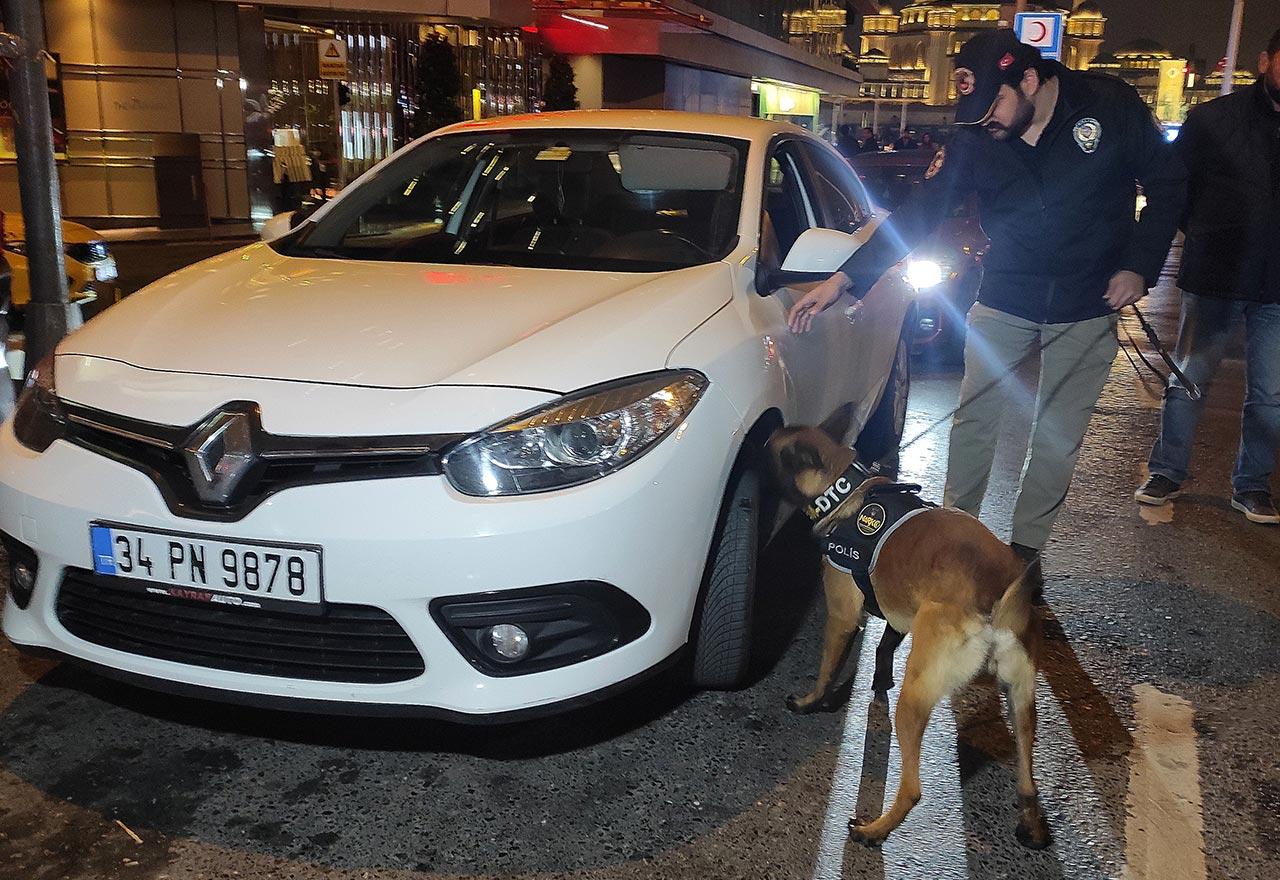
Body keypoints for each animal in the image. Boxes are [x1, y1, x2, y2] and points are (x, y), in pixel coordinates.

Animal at [762, 427, 1044, 854]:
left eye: (768, 451)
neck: (846, 488)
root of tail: (999, 599)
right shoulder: (900, 615)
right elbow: (883, 647)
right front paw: (879, 678)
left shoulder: (842, 618)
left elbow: (827, 668)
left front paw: (812, 701)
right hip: (1021, 697)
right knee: (1027, 767)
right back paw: (1031, 820)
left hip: (913, 703)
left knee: (913, 789)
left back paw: (874, 829)